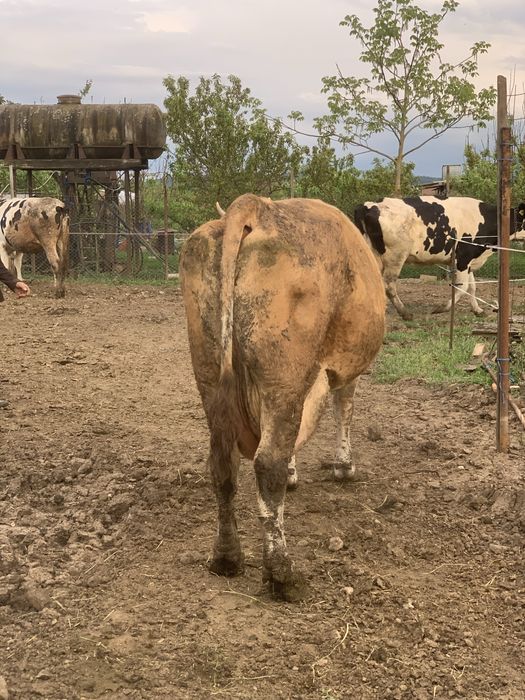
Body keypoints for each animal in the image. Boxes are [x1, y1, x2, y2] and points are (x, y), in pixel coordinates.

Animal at [180, 193, 385, 601]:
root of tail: (256, 208)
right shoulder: (342, 369)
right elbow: (344, 408)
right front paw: (343, 467)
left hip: (209, 370)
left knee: (223, 463)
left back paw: (226, 557)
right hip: (283, 374)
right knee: (267, 462)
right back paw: (282, 574)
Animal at [354, 196, 525, 321]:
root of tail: (368, 206)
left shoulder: (468, 260)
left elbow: (472, 287)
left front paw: (478, 310)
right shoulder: (462, 259)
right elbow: (462, 287)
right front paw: (442, 308)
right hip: (395, 256)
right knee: (388, 285)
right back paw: (405, 313)